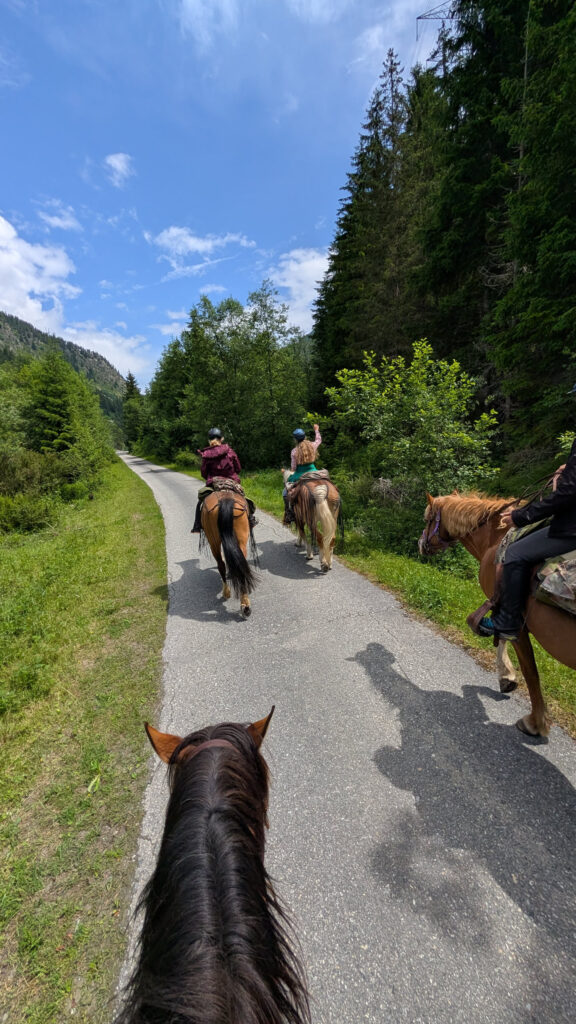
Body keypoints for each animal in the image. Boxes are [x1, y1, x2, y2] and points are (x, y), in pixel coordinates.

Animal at [200, 488, 258, 617]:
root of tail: (225, 500)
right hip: (239, 539)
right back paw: (244, 605)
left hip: (214, 541)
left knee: (222, 564)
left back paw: (230, 594)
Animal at [419, 491, 576, 738]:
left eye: (427, 519)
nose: (420, 544)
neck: (495, 537)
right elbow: (503, 640)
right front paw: (507, 678)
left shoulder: (515, 620)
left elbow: (529, 670)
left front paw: (535, 722)